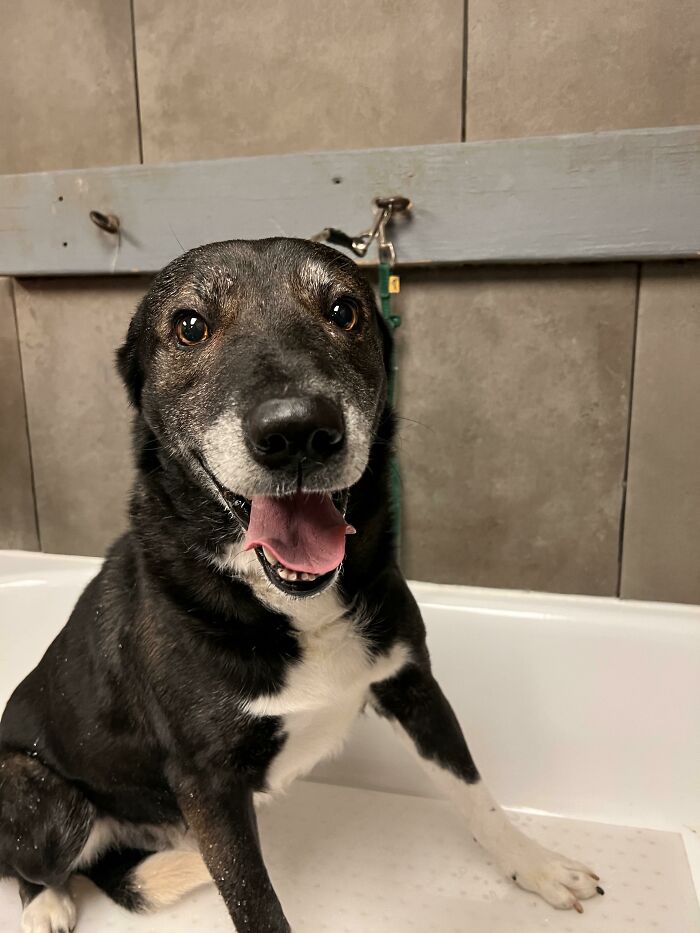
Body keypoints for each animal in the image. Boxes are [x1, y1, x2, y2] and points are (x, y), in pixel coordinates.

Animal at [0, 240, 600, 932]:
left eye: (344, 311)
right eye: (189, 326)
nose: (296, 433)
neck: (294, 607)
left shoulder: (413, 686)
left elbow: (475, 792)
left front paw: (537, 866)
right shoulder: (208, 783)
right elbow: (255, 903)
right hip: (41, 793)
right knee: (29, 864)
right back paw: (46, 905)